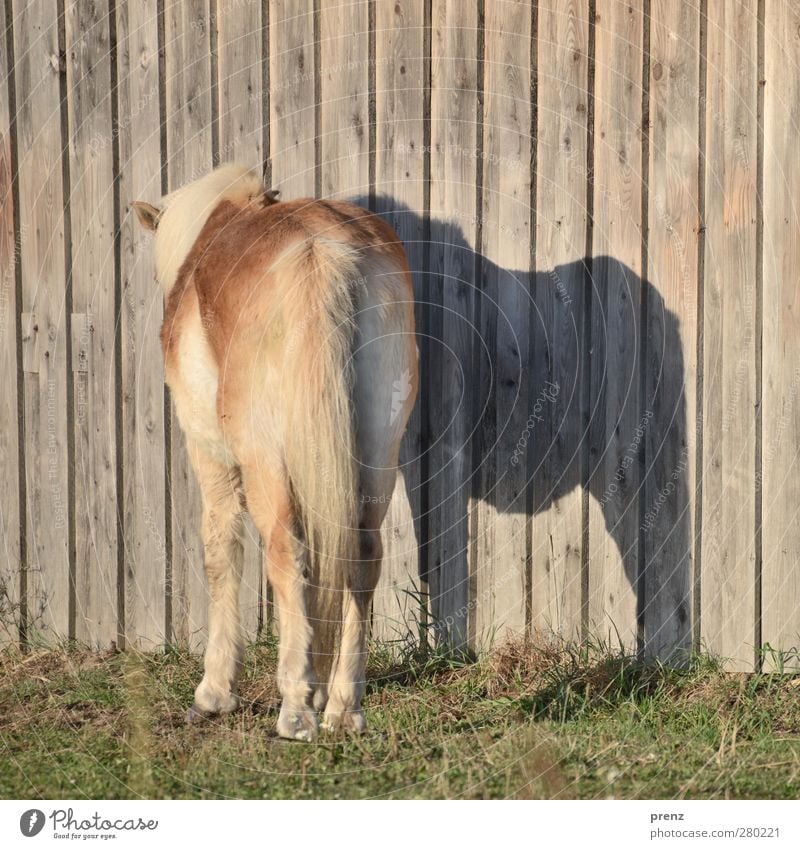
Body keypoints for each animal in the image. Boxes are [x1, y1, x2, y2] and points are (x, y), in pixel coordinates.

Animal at [131, 164, 418, 736]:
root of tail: (321, 251)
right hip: (377, 453)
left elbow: (220, 550)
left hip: (265, 461)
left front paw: (215, 692)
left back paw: (296, 707)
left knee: (288, 552)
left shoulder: (212, 456)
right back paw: (342, 707)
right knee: (363, 554)